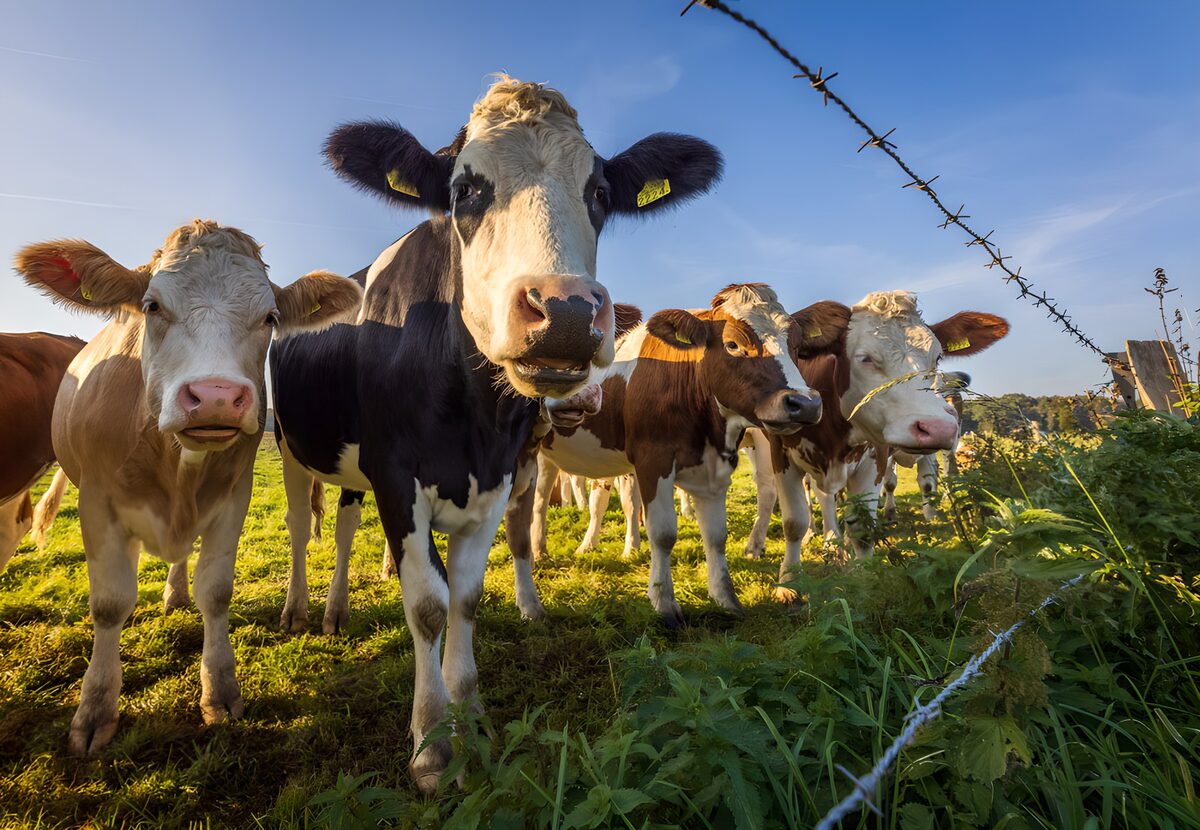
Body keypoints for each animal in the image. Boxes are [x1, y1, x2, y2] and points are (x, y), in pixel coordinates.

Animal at [14, 220, 362, 754]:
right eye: (153, 306)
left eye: (270, 317)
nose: (216, 397)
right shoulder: (96, 503)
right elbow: (109, 604)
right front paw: (95, 710)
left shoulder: (234, 498)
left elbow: (216, 593)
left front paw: (220, 692)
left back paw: (176, 592)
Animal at [268, 76, 722, 790]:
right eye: (464, 190)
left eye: (600, 193)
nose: (565, 313)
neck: (470, 421)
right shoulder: (396, 474)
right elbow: (427, 605)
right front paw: (432, 744)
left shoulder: (499, 475)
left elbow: (466, 599)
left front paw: (471, 717)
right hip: (291, 445)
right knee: (298, 524)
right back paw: (299, 609)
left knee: (342, 526)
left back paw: (339, 609)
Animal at [526, 284, 834, 627]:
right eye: (732, 344)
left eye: (796, 346)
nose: (805, 403)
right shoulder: (652, 460)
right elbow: (662, 532)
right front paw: (664, 603)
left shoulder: (716, 467)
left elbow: (716, 535)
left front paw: (725, 598)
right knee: (539, 501)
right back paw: (539, 552)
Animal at [742, 292, 1007, 596]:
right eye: (865, 358)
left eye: (937, 357)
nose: (938, 427)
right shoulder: (781, 454)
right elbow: (794, 522)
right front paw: (789, 584)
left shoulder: (875, 457)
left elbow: (863, 527)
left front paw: (864, 577)